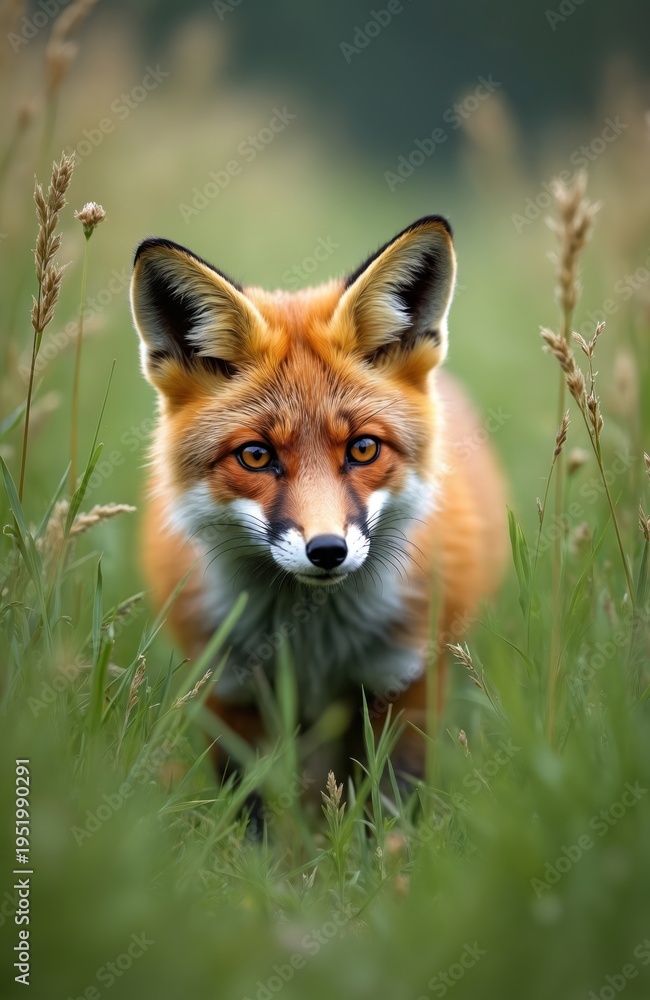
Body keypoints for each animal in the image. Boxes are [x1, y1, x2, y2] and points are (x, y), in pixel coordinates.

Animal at [130, 215, 508, 779]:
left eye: (363, 448)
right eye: (256, 456)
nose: (327, 550)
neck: (311, 645)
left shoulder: (405, 683)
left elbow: (387, 796)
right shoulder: (228, 690)